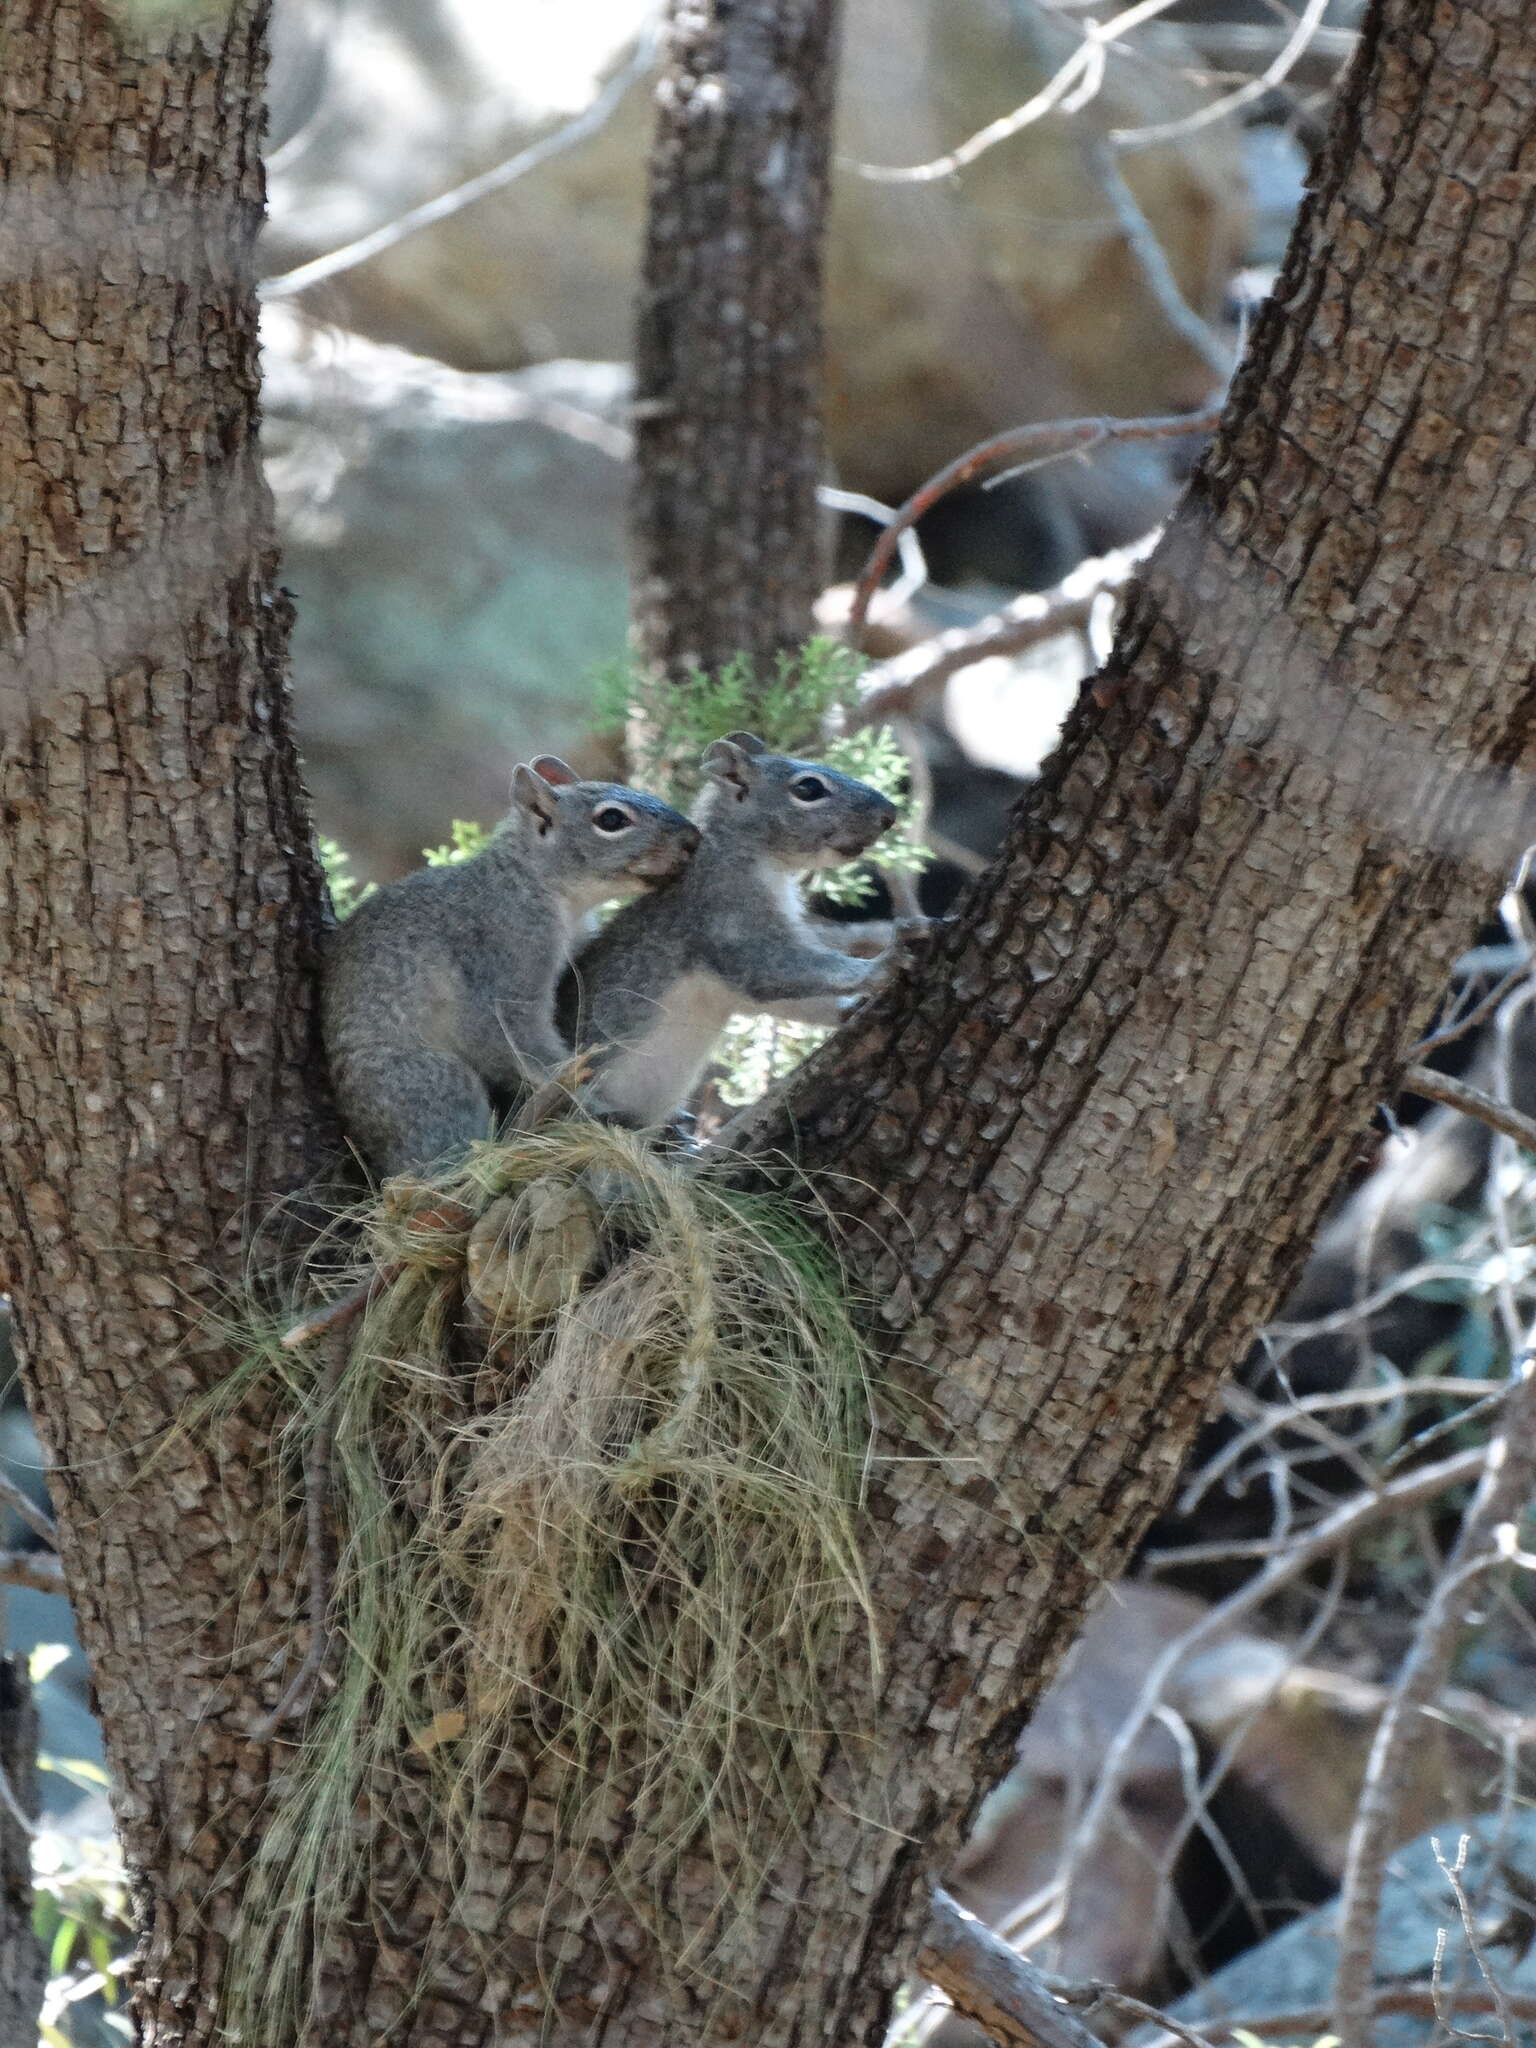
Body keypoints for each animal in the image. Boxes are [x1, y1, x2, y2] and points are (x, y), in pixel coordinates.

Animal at [331, 757, 708, 1179]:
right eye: (611, 819)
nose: (692, 838)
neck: (534, 883)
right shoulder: (505, 954)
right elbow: (512, 1036)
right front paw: (592, 1099)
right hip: (427, 1084)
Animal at [561, 729, 901, 1130]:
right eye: (808, 788)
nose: (889, 813)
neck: (742, 855)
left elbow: (792, 999)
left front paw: (850, 1007)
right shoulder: (725, 918)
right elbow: (774, 969)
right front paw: (882, 964)